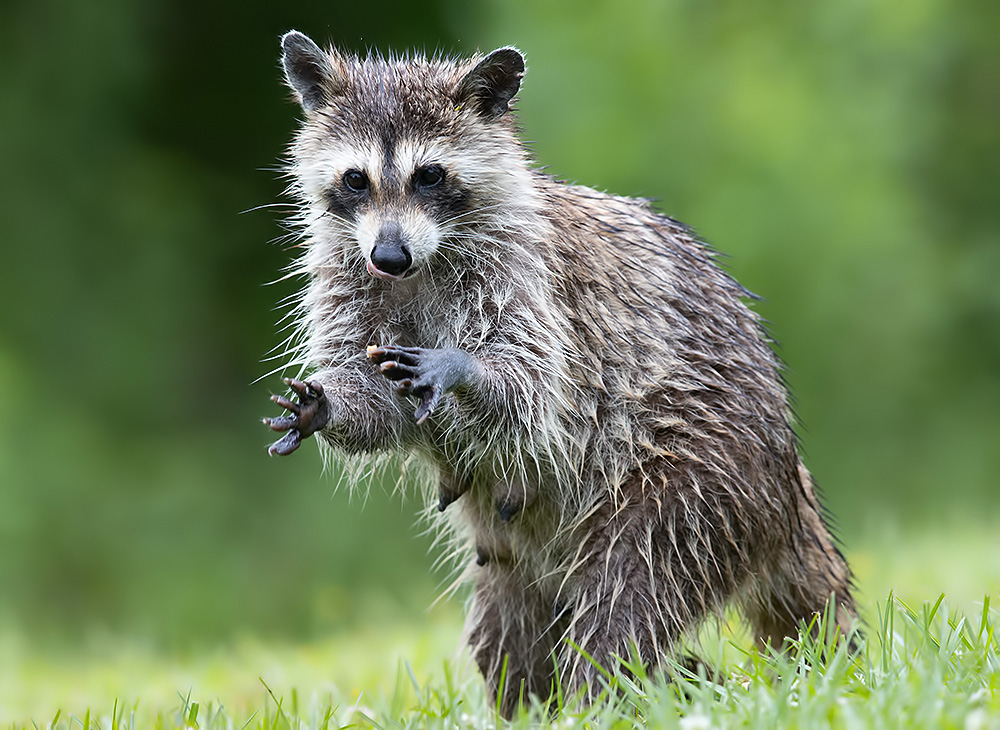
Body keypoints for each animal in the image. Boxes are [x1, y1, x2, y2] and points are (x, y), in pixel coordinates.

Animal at [266, 31, 860, 712]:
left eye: (429, 175)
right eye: (355, 179)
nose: (389, 255)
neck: (421, 267)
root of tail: (786, 478)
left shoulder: (535, 283)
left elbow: (538, 388)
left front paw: (468, 369)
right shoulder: (349, 281)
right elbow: (379, 401)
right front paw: (329, 404)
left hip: (703, 472)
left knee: (629, 593)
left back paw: (610, 693)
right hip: (518, 556)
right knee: (509, 632)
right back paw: (554, 700)